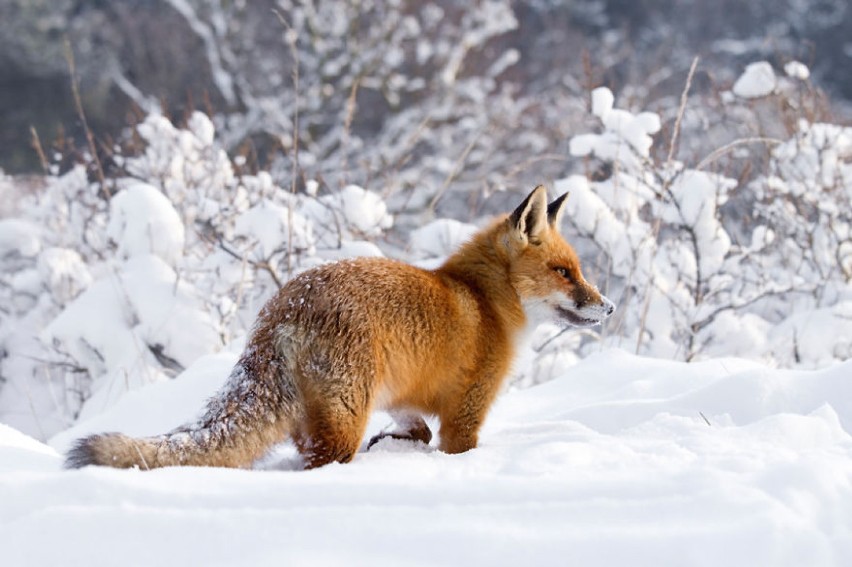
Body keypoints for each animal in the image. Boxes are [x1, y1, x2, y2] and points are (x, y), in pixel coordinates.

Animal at [66, 186, 612, 470]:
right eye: (565, 273)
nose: (608, 308)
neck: (483, 301)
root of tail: (285, 305)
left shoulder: (402, 393)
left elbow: (413, 429)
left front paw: (396, 444)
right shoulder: (465, 416)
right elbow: (450, 445)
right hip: (346, 418)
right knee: (320, 461)